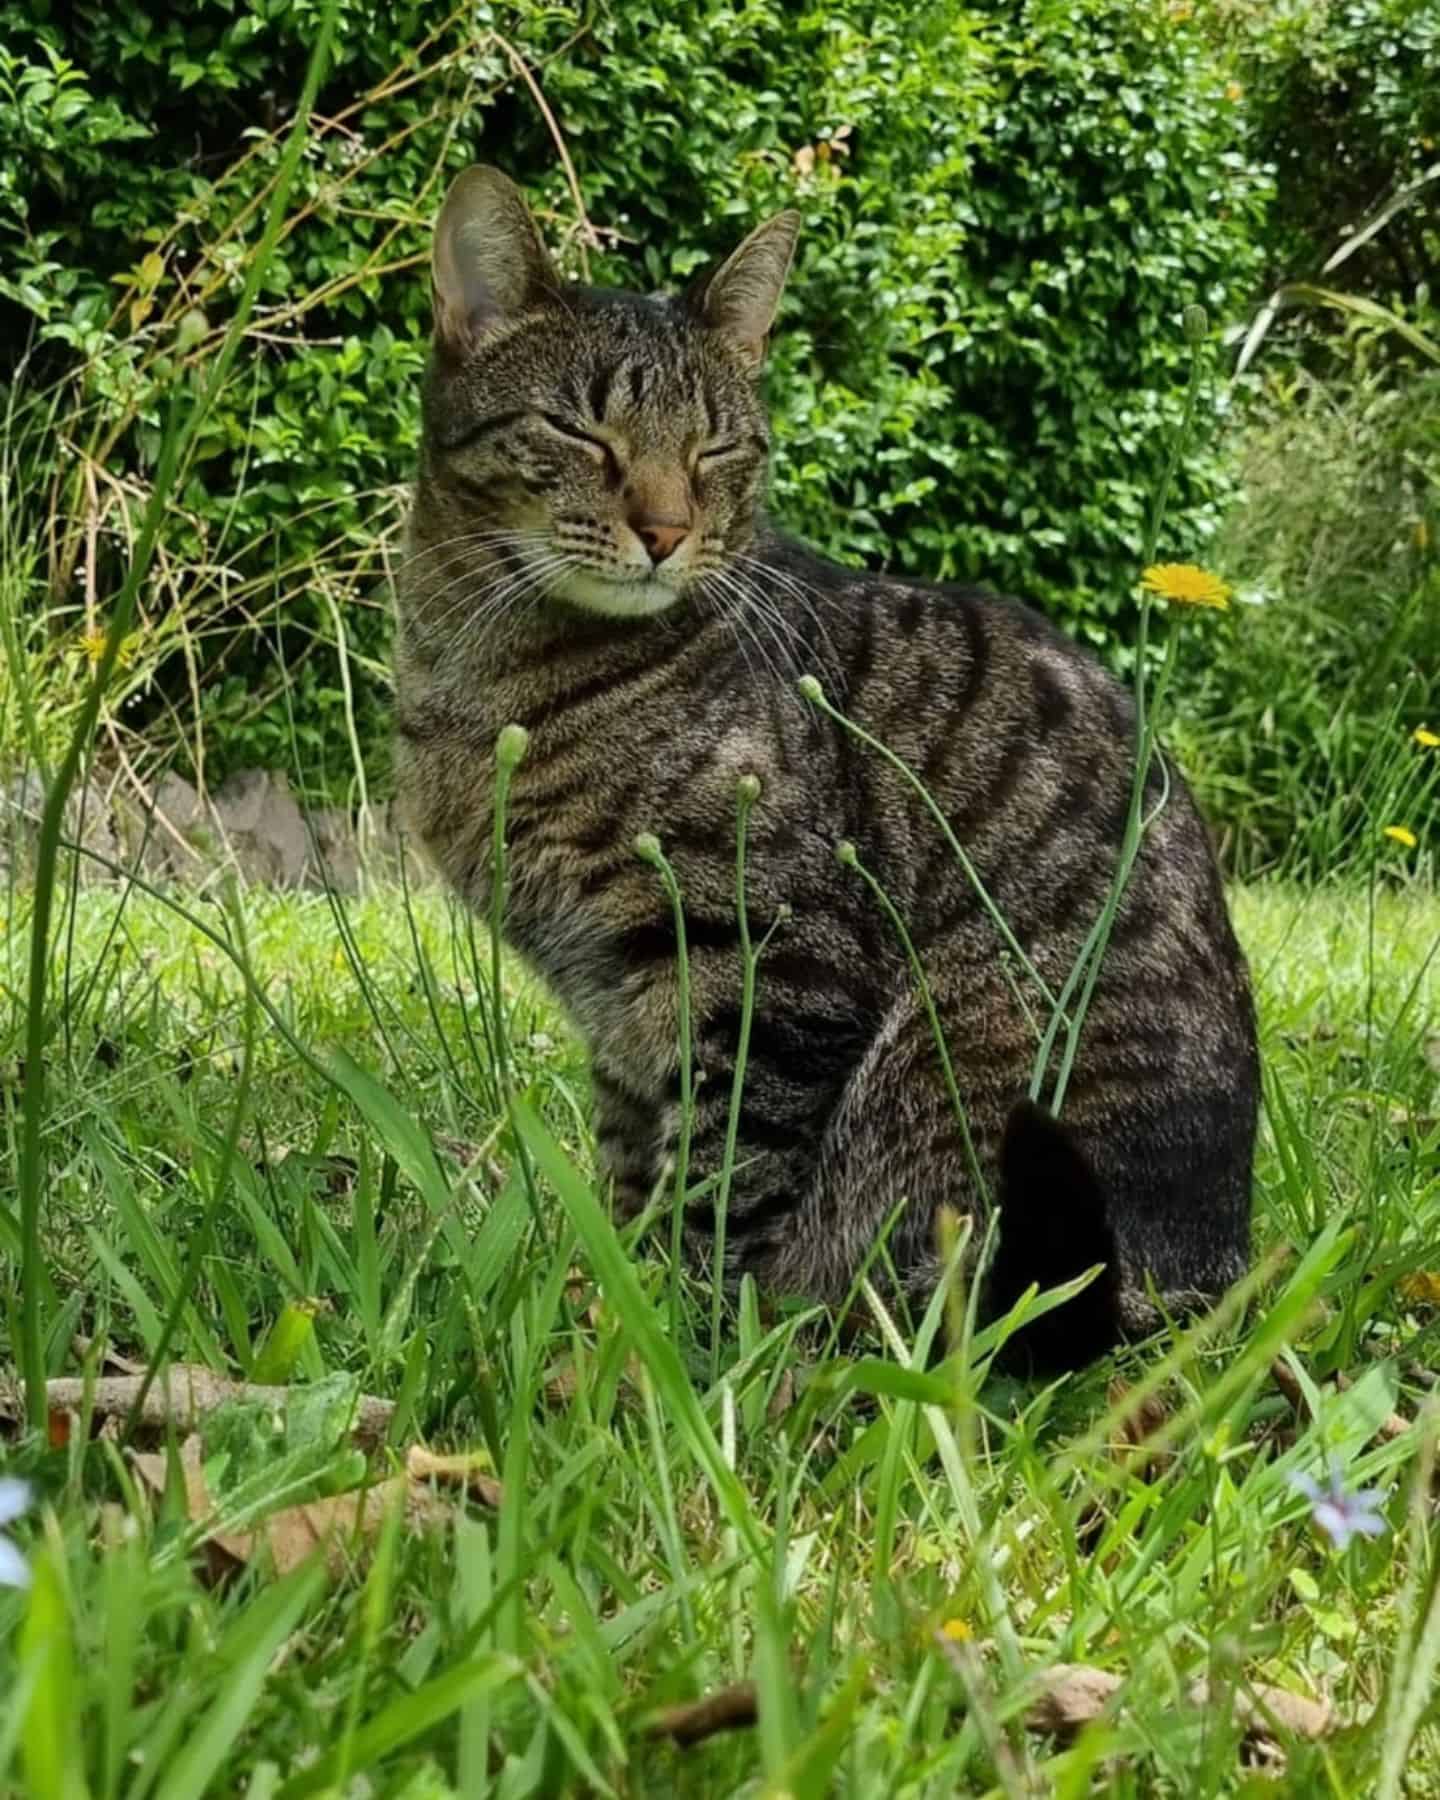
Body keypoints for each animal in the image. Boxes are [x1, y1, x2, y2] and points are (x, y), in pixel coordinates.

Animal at [394, 171, 1260, 1375]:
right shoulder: (621, 1014)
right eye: (578, 428)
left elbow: (721, 1182)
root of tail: (1201, 1284)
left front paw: (680, 1342)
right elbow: (632, 1173)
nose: (664, 531)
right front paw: (611, 1298)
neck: (489, 670)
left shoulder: (769, 961)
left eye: (716, 449)